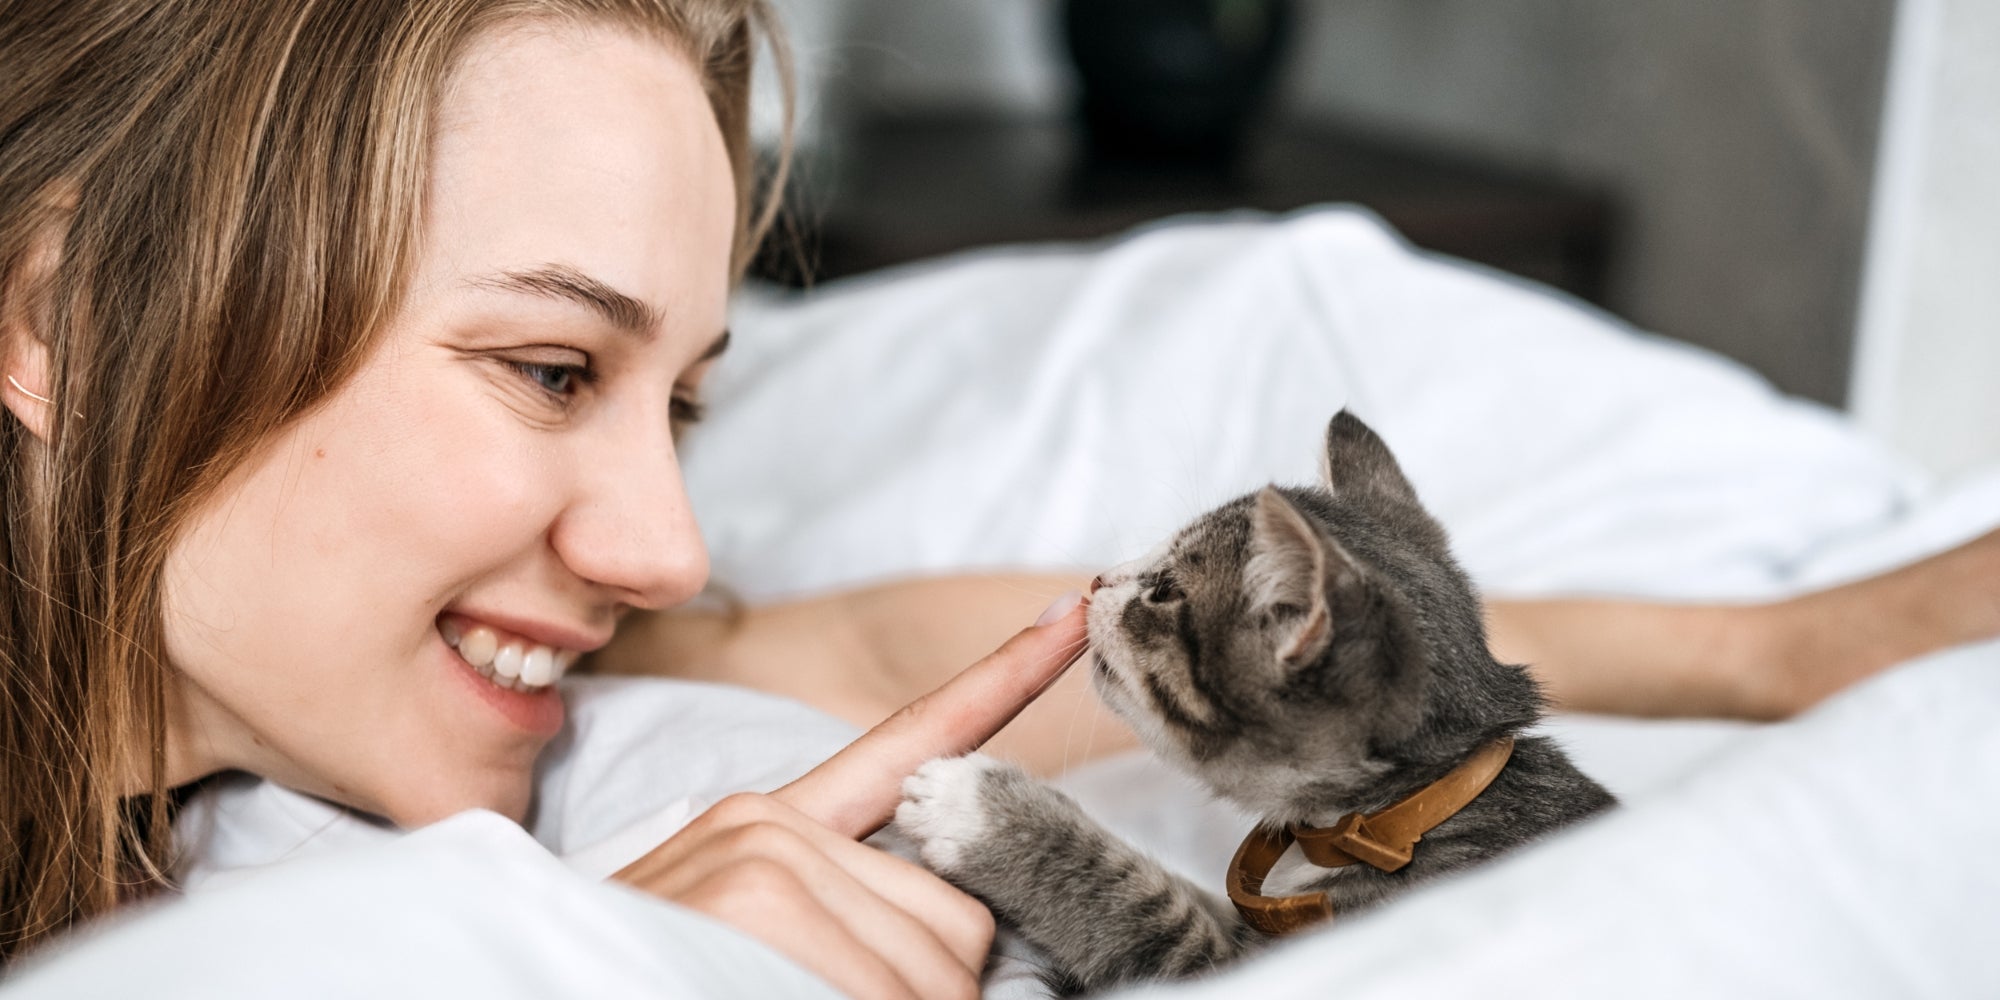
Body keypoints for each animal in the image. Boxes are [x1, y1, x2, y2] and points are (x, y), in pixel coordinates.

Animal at [900, 412, 1616, 992]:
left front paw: (980, 811)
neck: (1402, 813)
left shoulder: (1259, 967)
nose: (1100, 578)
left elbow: (1155, 911)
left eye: (1163, 592)